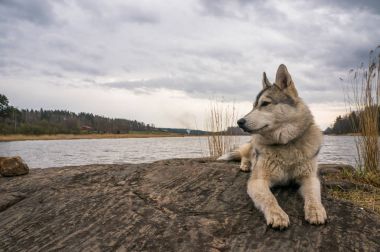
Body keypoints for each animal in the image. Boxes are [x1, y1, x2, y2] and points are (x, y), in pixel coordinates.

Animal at [220, 64, 326, 228]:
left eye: (265, 103)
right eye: (253, 106)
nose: (239, 122)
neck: (285, 144)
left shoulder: (310, 177)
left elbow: (313, 196)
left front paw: (315, 210)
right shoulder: (258, 181)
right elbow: (269, 199)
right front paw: (277, 215)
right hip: (251, 146)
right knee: (244, 155)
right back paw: (245, 165)